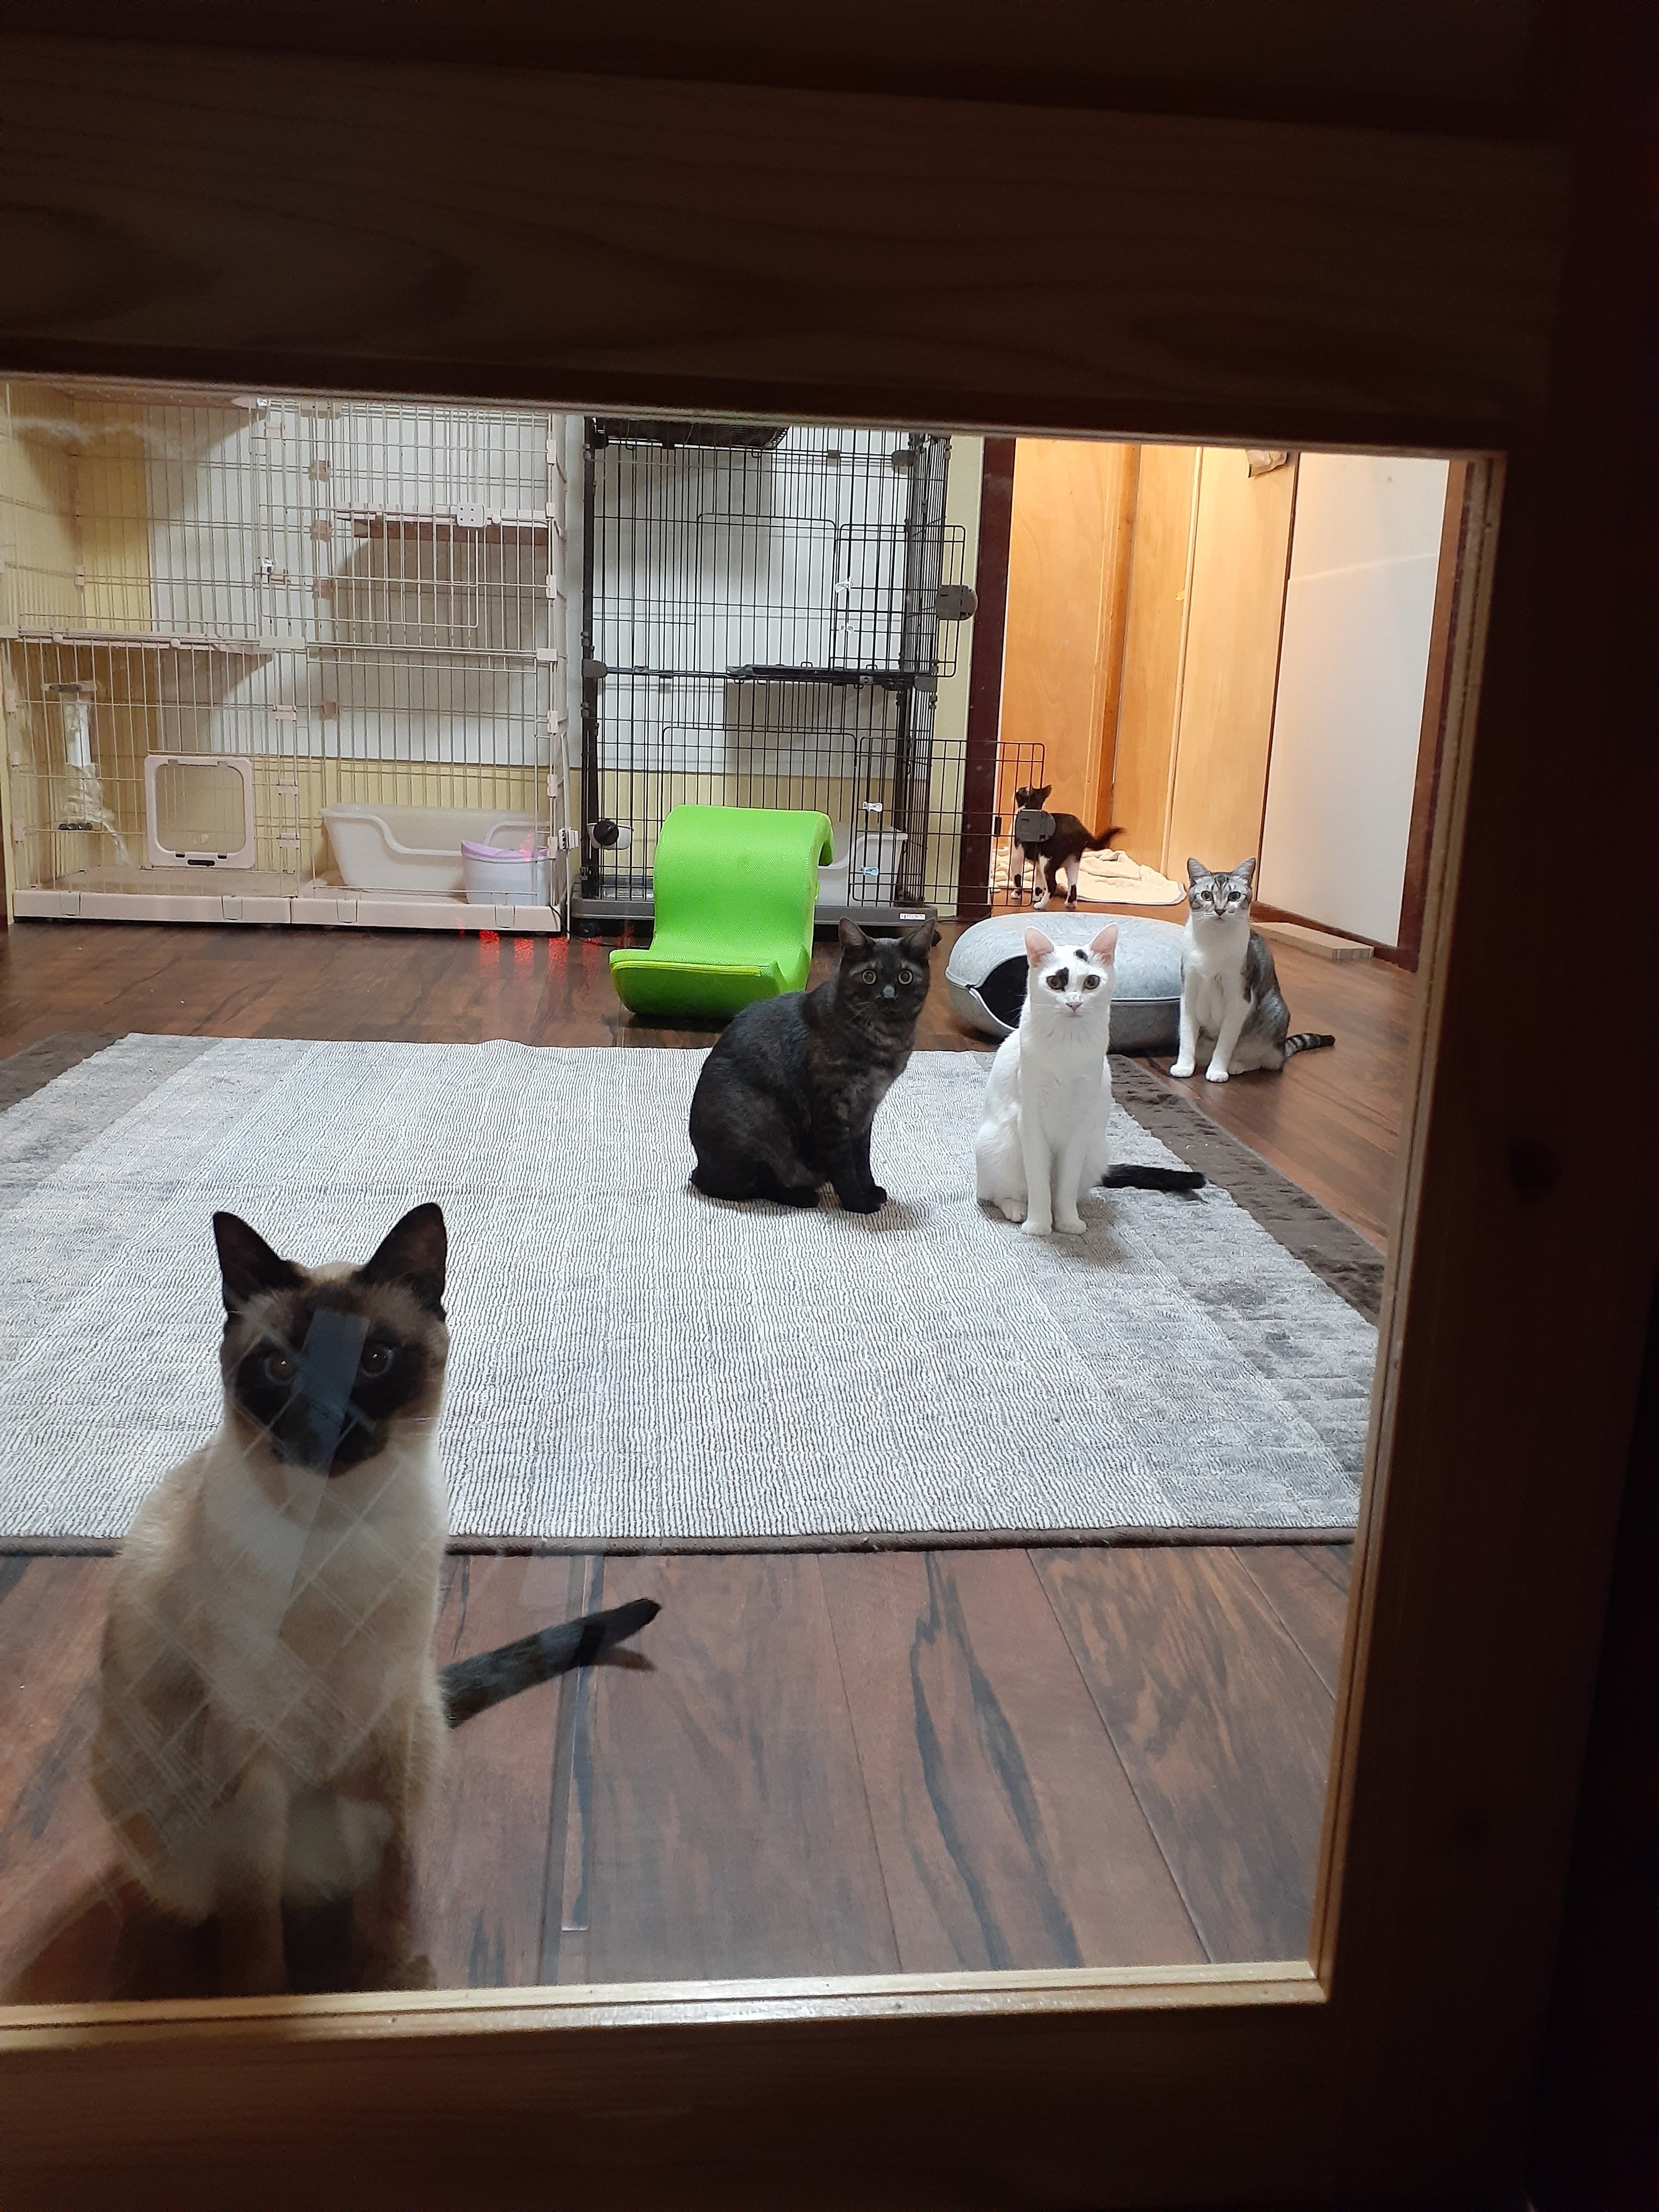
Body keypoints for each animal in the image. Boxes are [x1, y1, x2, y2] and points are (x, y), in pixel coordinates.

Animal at [92, 1203, 655, 1995]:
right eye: (281, 1368)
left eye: (374, 1361)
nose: (326, 1421)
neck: (337, 1534)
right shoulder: (249, 1752)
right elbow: (253, 1913)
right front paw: (259, 1997)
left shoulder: (387, 1727)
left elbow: (390, 1884)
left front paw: (388, 1980)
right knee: (235, 1898)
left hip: (416, 1719)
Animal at [689, 918, 935, 1213]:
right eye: (869, 976)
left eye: (905, 977)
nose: (888, 996)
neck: (885, 1039)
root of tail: (700, 1169)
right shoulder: (831, 1108)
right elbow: (844, 1163)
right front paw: (857, 1202)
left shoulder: (865, 1110)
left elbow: (862, 1158)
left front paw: (870, 1190)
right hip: (763, 1121)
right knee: (751, 1184)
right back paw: (802, 1195)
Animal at [974, 926, 1204, 1235]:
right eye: (1055, 982)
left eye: (1091, 982)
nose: (1074, 1003)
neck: (1068, 1046)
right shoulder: (1031, 1120)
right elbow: (1038, 1181)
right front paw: (1039, 1225)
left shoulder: (1081, 1123)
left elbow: (1066, 1185)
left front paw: (1067, 1222)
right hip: (1000, 1145)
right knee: (1001, 1192)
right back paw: (1016, 1208)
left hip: (1095, 1150)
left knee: (1072, 1189)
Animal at [1009, 785, 1125, 910]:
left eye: (1020, 790)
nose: (1016, 789)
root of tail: (1079, 829)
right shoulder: (1038, 863)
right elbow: (1039, 883)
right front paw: (1036, 897)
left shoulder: (1016, 857)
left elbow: (1017, 879)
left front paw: (1017, 895)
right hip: (1073, 862)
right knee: (1073, 886)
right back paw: (1070, 904)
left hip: (1048, 861)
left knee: (1053, 885)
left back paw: (1040, 905)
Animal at [1172, 858, 1336, 1083]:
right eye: (1207, 895)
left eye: (1234, 896)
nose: (1220, 910)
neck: (1213, 944)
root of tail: (1282, 1048)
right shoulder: (1189, 990)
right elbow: (1187, 1036)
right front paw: (1184, 1067)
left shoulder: (1239, 999)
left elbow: (1226, 1041)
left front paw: (1218, 1071)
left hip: (1273, 1012)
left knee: (1267, 1061)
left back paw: (1236, 1065)